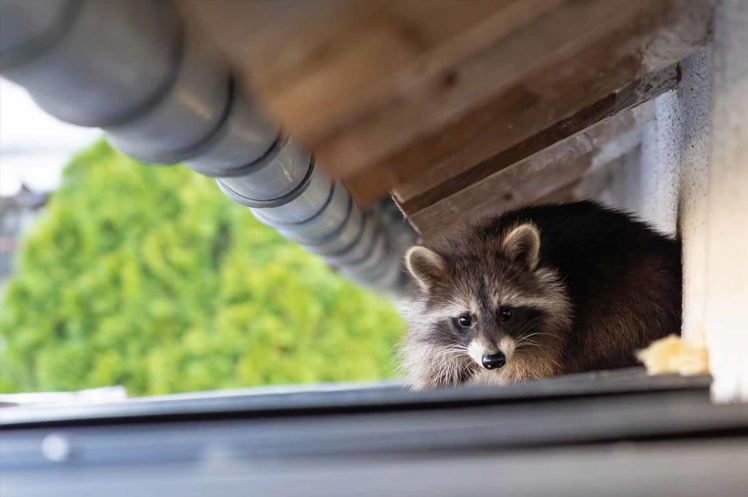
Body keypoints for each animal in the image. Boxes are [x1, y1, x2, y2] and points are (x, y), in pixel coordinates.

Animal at [399, 201, 682, 389]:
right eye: (464, 320)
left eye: (506, 313)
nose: (493, 360)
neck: (478, 244)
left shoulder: (551, 341)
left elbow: (529, 371)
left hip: (635, 298)